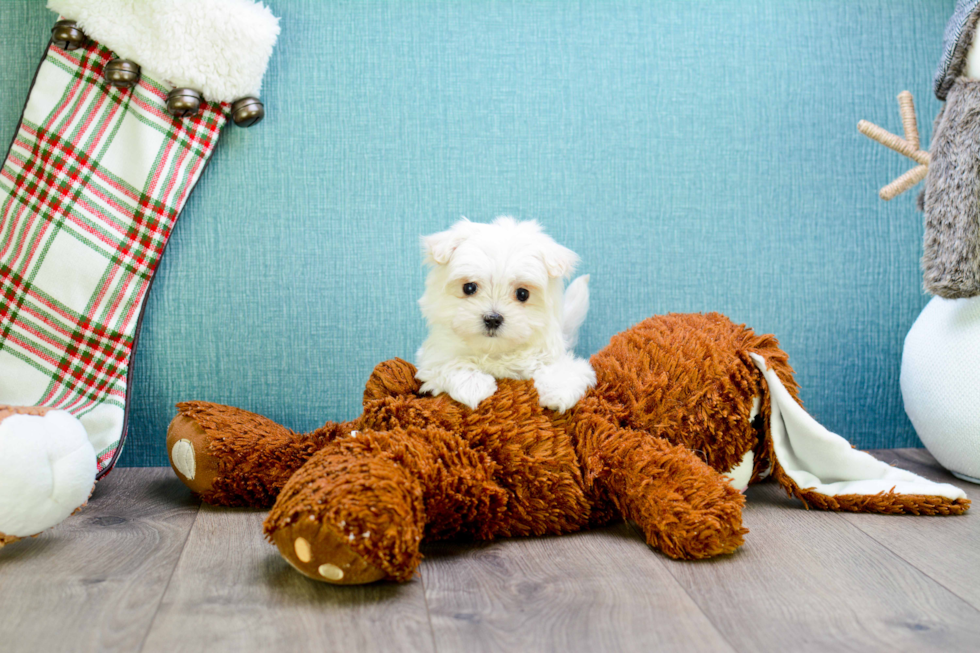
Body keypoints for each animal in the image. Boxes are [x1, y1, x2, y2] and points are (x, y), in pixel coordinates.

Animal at [416, 219, 592, 412]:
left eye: (523, 294)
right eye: (469, 287)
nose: (493, 319)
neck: (495, 352)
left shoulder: (550, 355)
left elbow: (564, 369)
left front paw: (558, 391)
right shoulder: (433, 358)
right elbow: (449, 364)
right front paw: (473, 386)